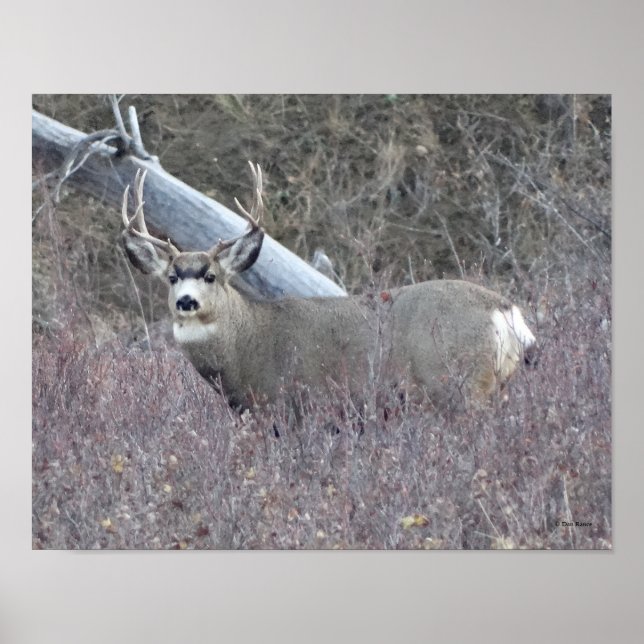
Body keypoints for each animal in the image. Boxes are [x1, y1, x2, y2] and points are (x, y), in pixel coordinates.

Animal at [121, 162, 536, 411]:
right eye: (171, 277)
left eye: (211, 276)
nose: (186, 302)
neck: (247, 345)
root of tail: (505, 310)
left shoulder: (294, 405)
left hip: (460, 385)